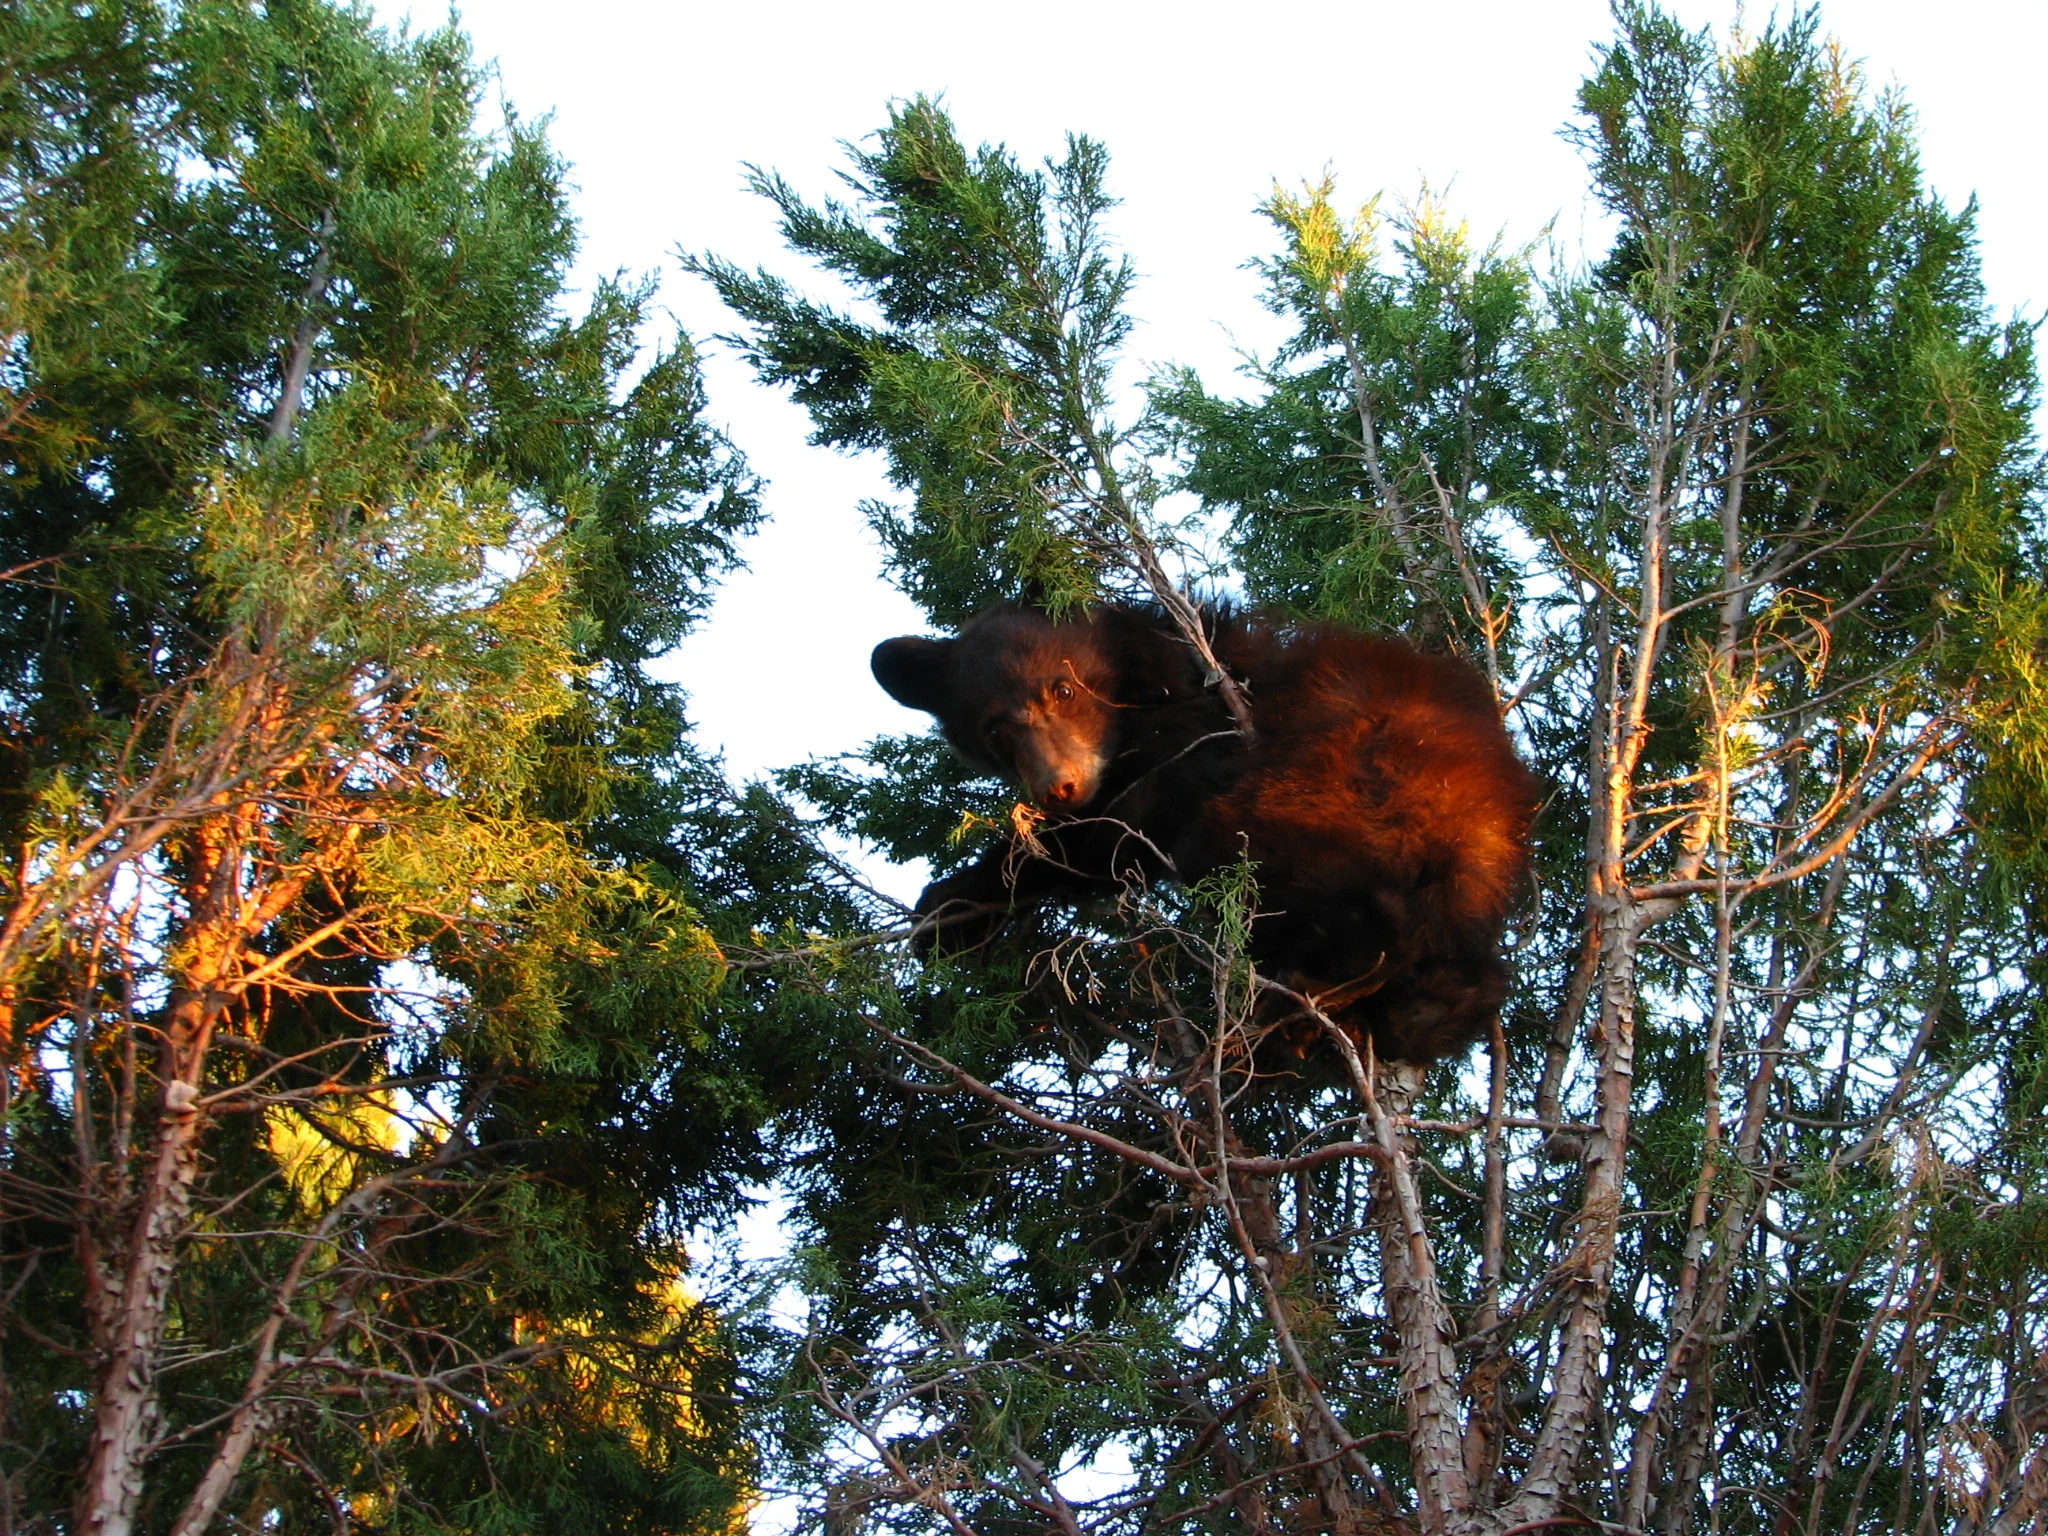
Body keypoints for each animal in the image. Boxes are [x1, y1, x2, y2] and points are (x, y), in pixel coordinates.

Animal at [870, 604, 1538, 1065]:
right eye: (993, 729)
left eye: (1061, 688)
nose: (1058, 786)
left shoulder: (1191, 736)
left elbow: (1111, 835)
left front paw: (949, 909)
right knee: (1458, 988)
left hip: (1320, 792)